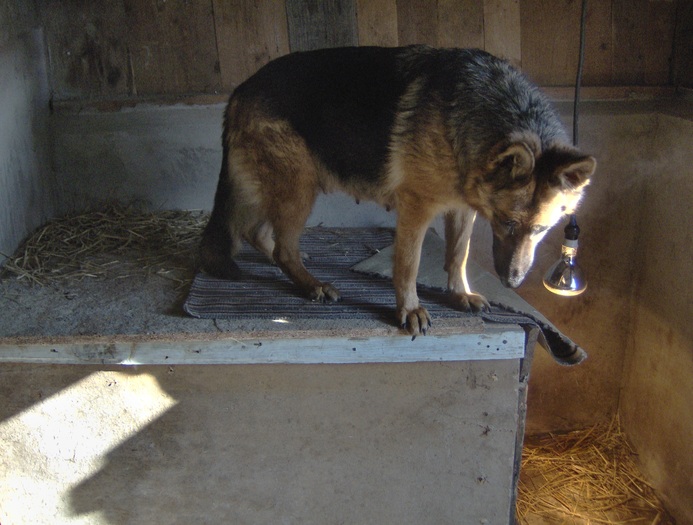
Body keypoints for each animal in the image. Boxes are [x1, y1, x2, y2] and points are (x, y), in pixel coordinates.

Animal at [200, 47, 596, 336]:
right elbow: (408, 265)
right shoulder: (417, 210)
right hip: (298, 187)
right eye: (507, 223)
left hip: (281, 187)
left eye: (542, 230)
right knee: (279, 244)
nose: (512, 281)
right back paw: (310, 284)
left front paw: (459, 293)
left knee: (256, 232)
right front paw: (409, 309)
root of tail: (240, 90)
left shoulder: (462, 208)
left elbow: (458, 255)